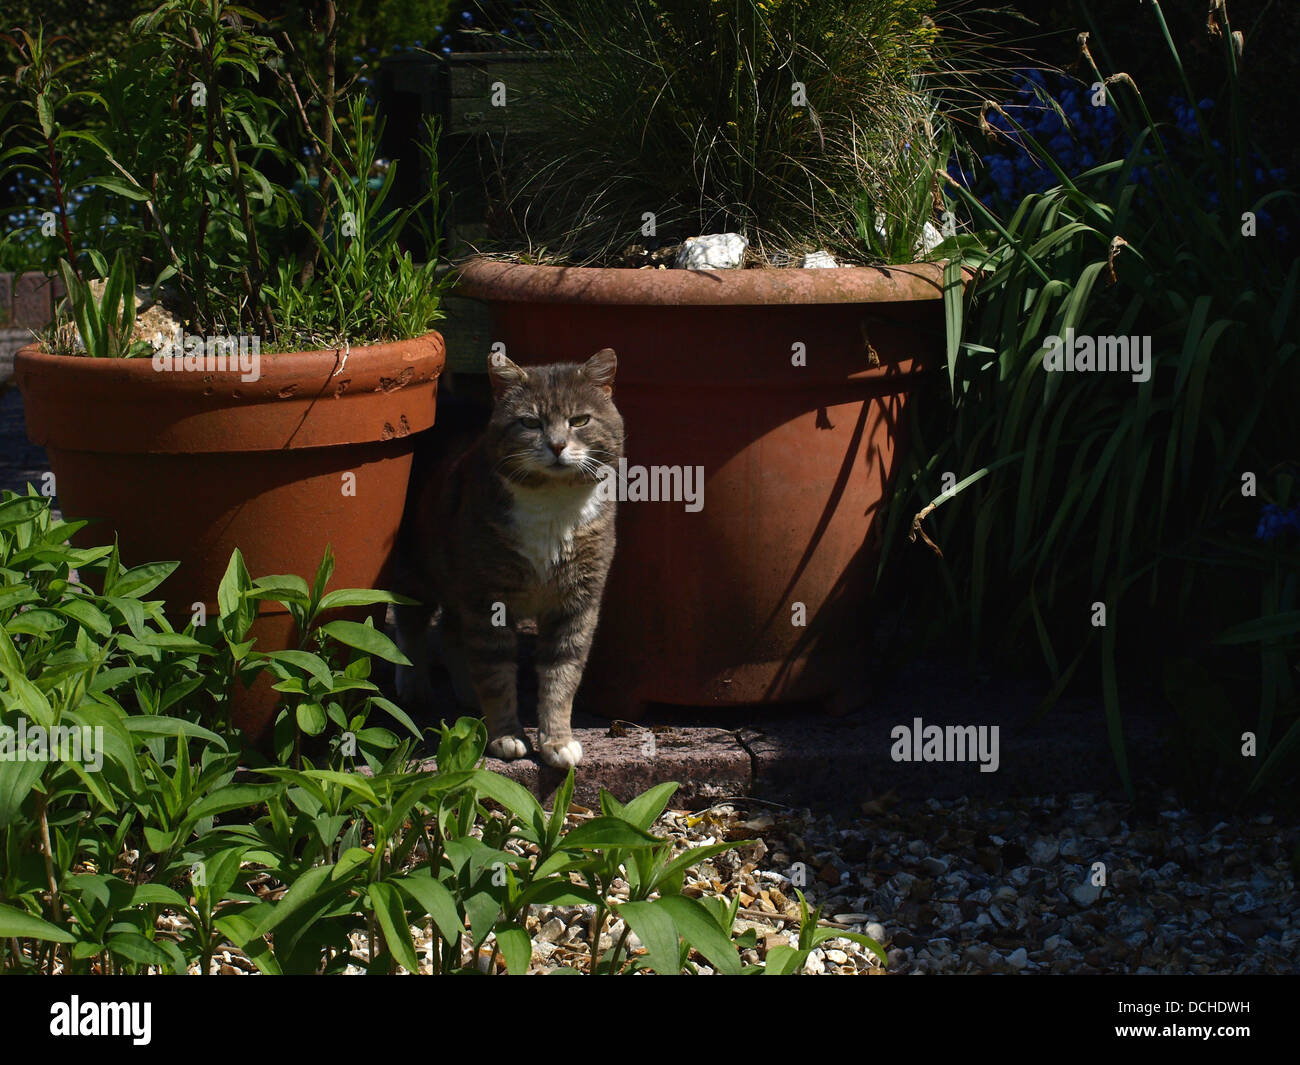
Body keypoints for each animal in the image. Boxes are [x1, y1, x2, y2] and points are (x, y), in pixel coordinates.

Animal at [390, 351, 624, 764]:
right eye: (530, 422)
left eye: (580, 420)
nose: (558, 445)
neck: (553, 503)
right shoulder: (488, 597)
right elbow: (497, 673)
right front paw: (505, 736)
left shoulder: (576, 603)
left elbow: (561, 675)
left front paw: (558, 741)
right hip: (418, 566)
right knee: (411, 622)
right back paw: (414, 685)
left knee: (451, 631)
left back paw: (467, 693)